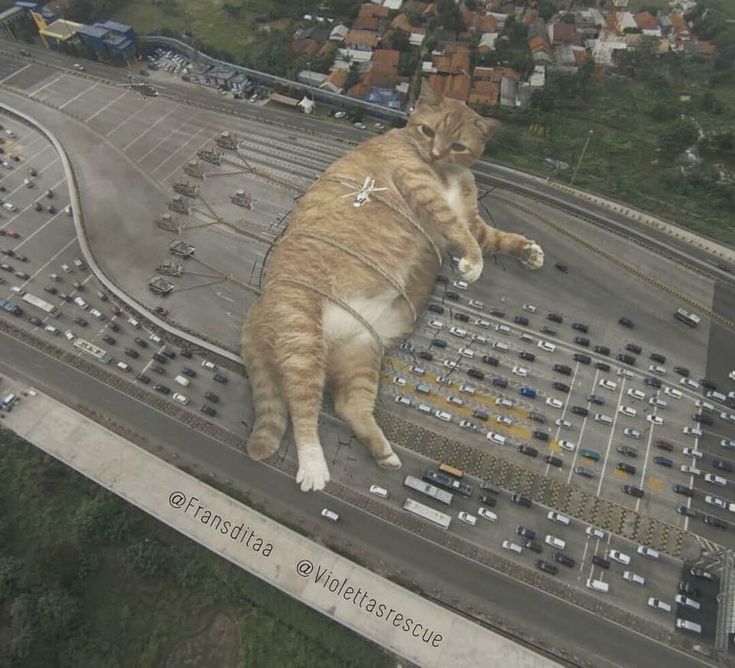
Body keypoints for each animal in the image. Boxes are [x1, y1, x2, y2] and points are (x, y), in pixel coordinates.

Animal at [244, 82, 544, 490]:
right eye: (428, 131)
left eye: (457, 146)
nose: (434, 153)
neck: (444, 173)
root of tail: (256, 311)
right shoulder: (422, 188)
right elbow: (460, 231)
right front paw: (473, 264)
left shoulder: (471, 217)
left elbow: (493, 237)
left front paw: (527, 252)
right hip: (302, 334)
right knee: (300, 403)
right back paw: (313, 467)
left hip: (361, 352)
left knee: (348, 404)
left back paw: (383, 452)